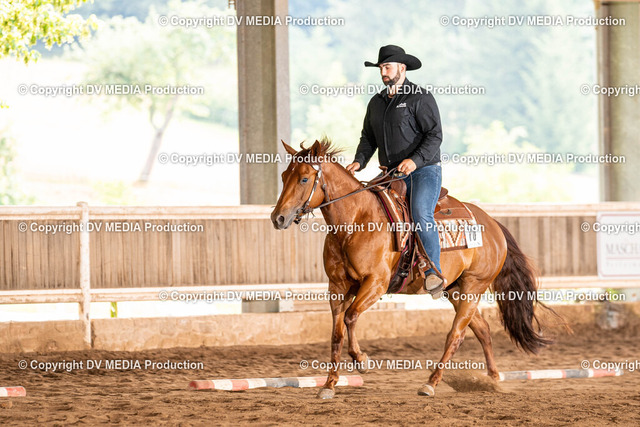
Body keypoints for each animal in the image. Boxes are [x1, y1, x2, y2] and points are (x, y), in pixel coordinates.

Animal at [270, 138, 558, 399]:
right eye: (284, 176)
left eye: (304, 179)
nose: (278, 218)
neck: (356, 222)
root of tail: (493, 224)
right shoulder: (337, 287)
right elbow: (336, 333)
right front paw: (329, 385)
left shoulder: (376, 283)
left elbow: (351, 317)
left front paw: (362, 360)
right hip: (455, 290)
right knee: (482, 330)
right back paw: (493, 379)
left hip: (474, 286)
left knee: (455, 335)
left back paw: (431, 383)